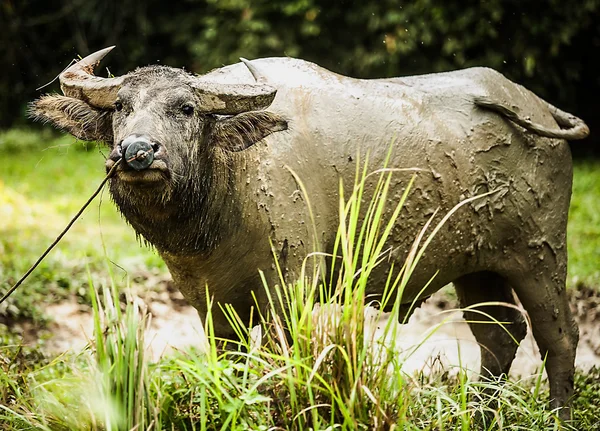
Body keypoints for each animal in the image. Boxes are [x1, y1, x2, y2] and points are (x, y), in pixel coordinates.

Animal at [30, 48, 588, 422]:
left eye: (186, 109)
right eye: (120, 107)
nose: (138, 152)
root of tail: (537, 108)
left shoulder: (289, 290)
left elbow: (282, 368)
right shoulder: (212, 305)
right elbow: (230, 369)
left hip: (540, 253)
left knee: (558, 335)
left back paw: (556, 415)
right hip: (478, 264)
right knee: (499, 335)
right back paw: (480, 414)